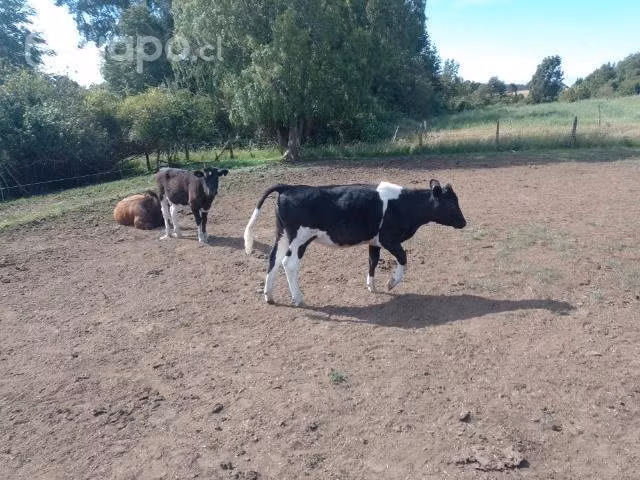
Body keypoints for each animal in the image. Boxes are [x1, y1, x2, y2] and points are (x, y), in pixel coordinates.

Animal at [243, 179, 466, 306]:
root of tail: (290, 187)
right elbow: (403, 258)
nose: (464, 222)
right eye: (451, 203)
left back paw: (269, 296)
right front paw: (391, 283)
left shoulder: (374, 240)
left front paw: (372, 286)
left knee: (273, 259)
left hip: (282, 234)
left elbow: (373, 261)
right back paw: (298, 298)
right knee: (288, 263)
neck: (405, 204)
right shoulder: (388, 238)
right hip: (300, 238)